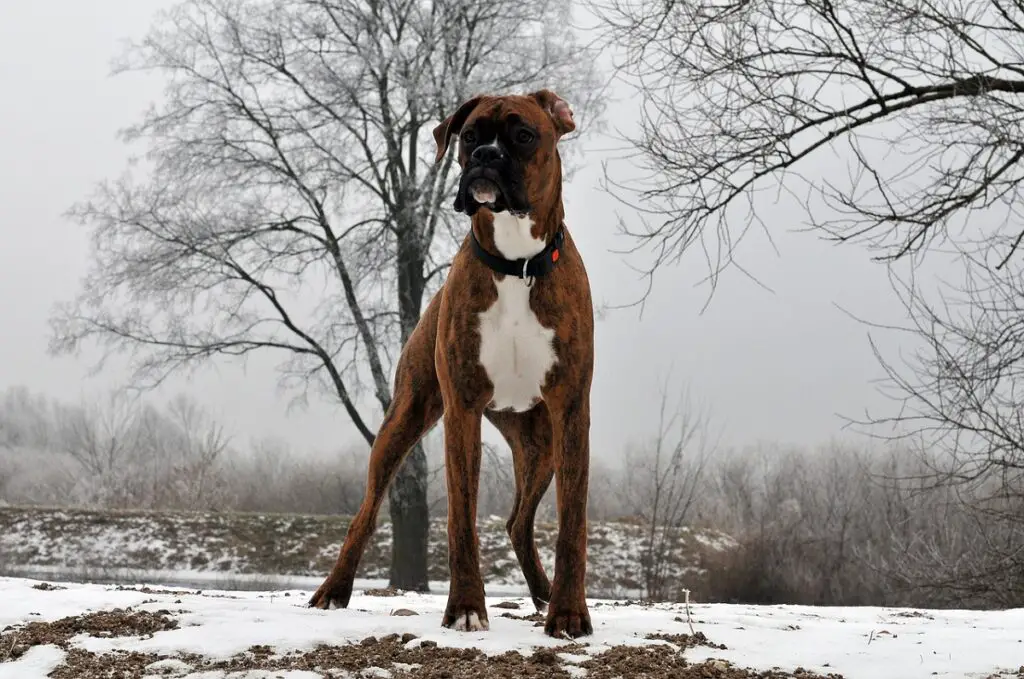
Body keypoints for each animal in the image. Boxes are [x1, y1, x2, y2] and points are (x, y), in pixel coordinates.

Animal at [305, 87, 593, 639]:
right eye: (470, 135)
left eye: (523, 135)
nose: (484, 157)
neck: (517, 264)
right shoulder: (462, 409)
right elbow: (461, 516)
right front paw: (464, 607)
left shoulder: (571, 411)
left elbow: (572, 524)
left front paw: (569, 614)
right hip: (404, 420)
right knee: (365, 515)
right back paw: (333, 590)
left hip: (540, 444)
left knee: (519, 523)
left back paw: (544, 594)